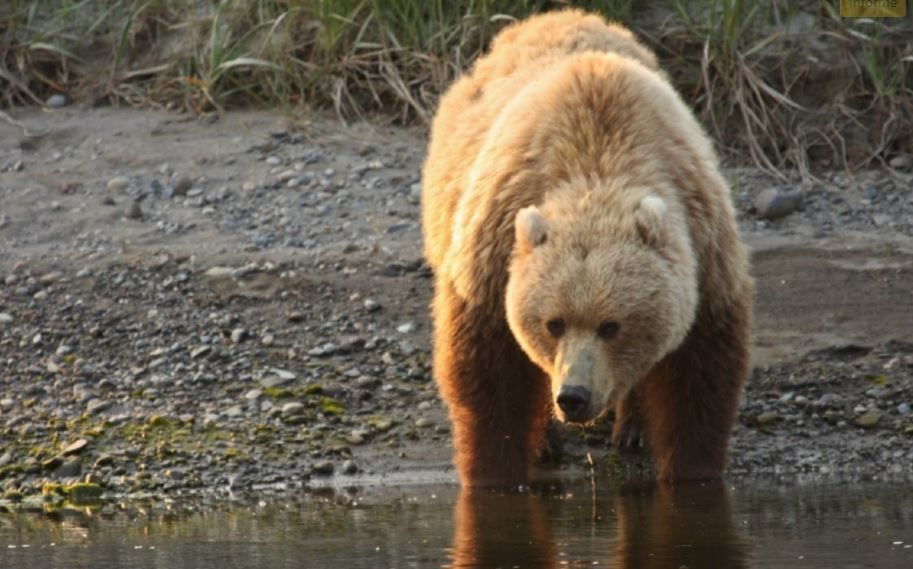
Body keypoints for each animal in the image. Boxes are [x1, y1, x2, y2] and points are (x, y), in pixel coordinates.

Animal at [421, 10, 752, 488]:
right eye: (553, 323)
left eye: (612, 325)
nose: (574, 396)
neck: (596, 166)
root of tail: (557, 15)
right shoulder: (494, 251)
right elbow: (489, 371)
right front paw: (494, 471)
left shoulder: (703, 248)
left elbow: (699, 372)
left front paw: (692, 469)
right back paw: (546, 440)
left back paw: (632, 429)